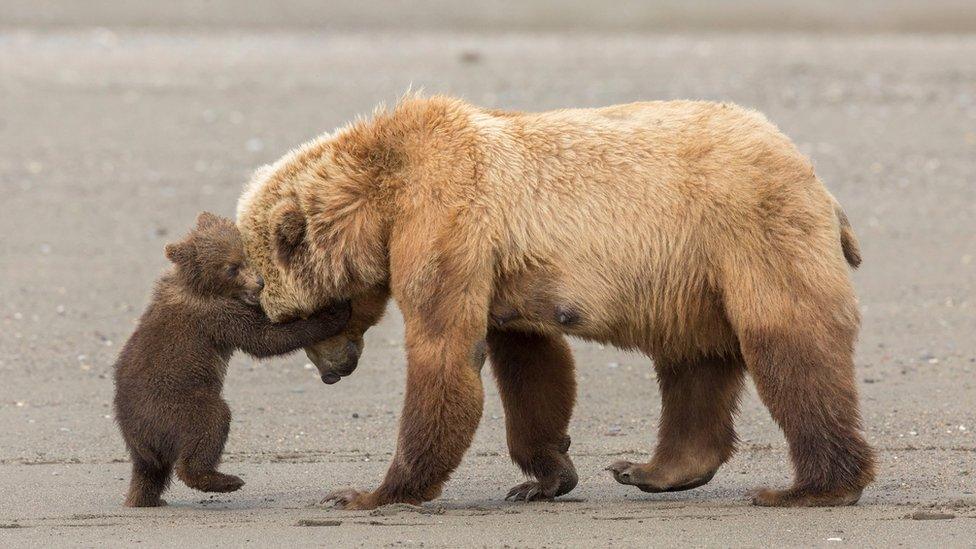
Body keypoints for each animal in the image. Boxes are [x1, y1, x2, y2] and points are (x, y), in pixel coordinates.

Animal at [236, 94, 876, 510]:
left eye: (298, 317)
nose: (332, 372)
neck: (382, 196)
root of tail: (813, 176)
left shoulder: (446, 220)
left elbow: (444, 352)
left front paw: (369, 492)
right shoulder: (501, 271)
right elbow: (532, 365)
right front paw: (544, 477)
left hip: (748, 230)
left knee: (788, 342)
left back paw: (812, 487)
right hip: (692, 280)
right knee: (693, 362)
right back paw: (652, 469)